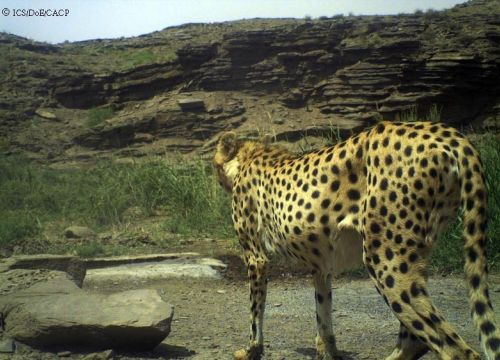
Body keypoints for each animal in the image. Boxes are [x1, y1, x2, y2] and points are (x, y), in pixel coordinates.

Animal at [214, 121, 500, 360]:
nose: (217, 178)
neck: (249, 156)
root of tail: (448, 134)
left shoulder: (256, 258)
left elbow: (256, 311)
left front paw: (252, 349)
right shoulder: (321, 264)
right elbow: (323, 310)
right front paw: (327, 351)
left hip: (384, 259)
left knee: (455, 349)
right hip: (413, 253)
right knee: (415, 339)